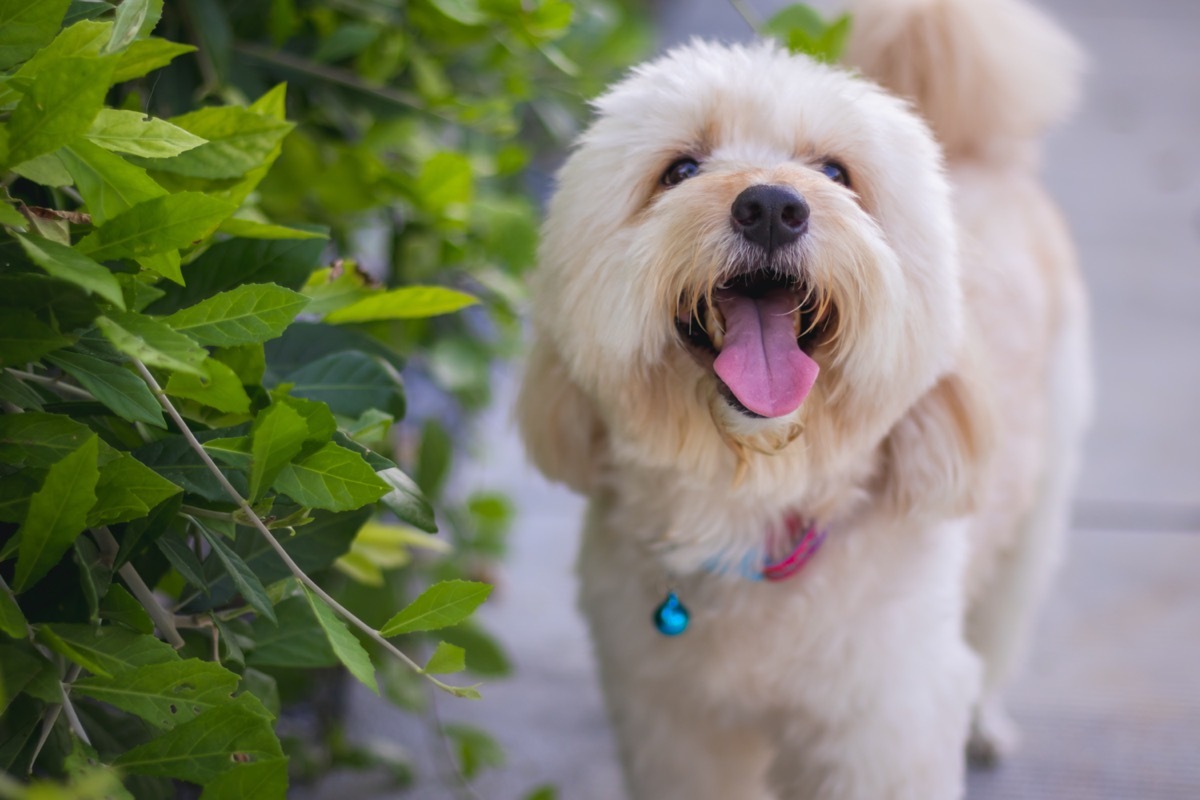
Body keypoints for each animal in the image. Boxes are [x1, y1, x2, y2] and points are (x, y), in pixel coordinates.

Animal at [516, 0, 1089, 796]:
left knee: (1004, 611)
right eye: (680, 170)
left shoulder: (882, 724)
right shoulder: (675, 726)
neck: (753, 503)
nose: (769, 205)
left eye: (836, 172)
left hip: (1037, 500)